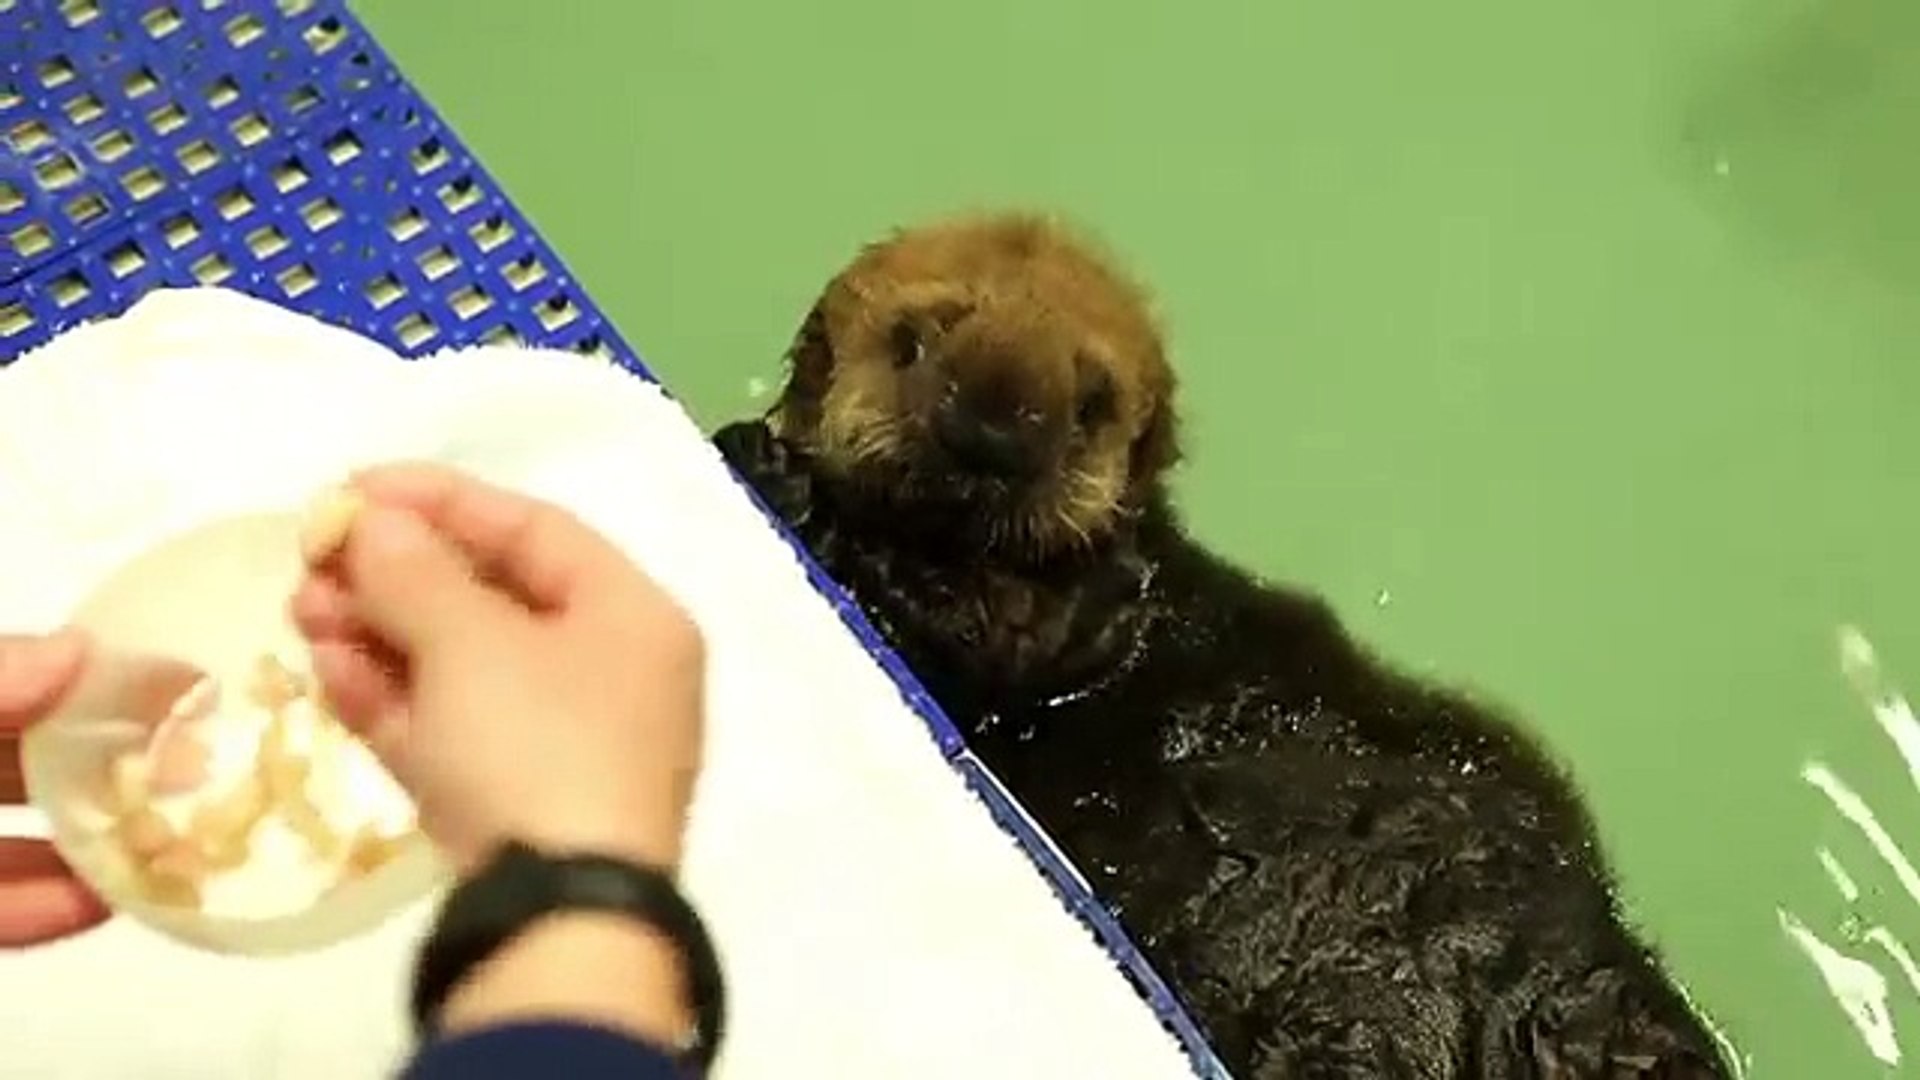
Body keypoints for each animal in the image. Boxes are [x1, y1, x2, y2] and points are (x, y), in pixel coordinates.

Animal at [713, 213, 1732, 1078]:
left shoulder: (1082, 614)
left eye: (1091, 402)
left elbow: (999, 630)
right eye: (913, 340)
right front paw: (771, 459)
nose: (990, 429)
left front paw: (802, 493)